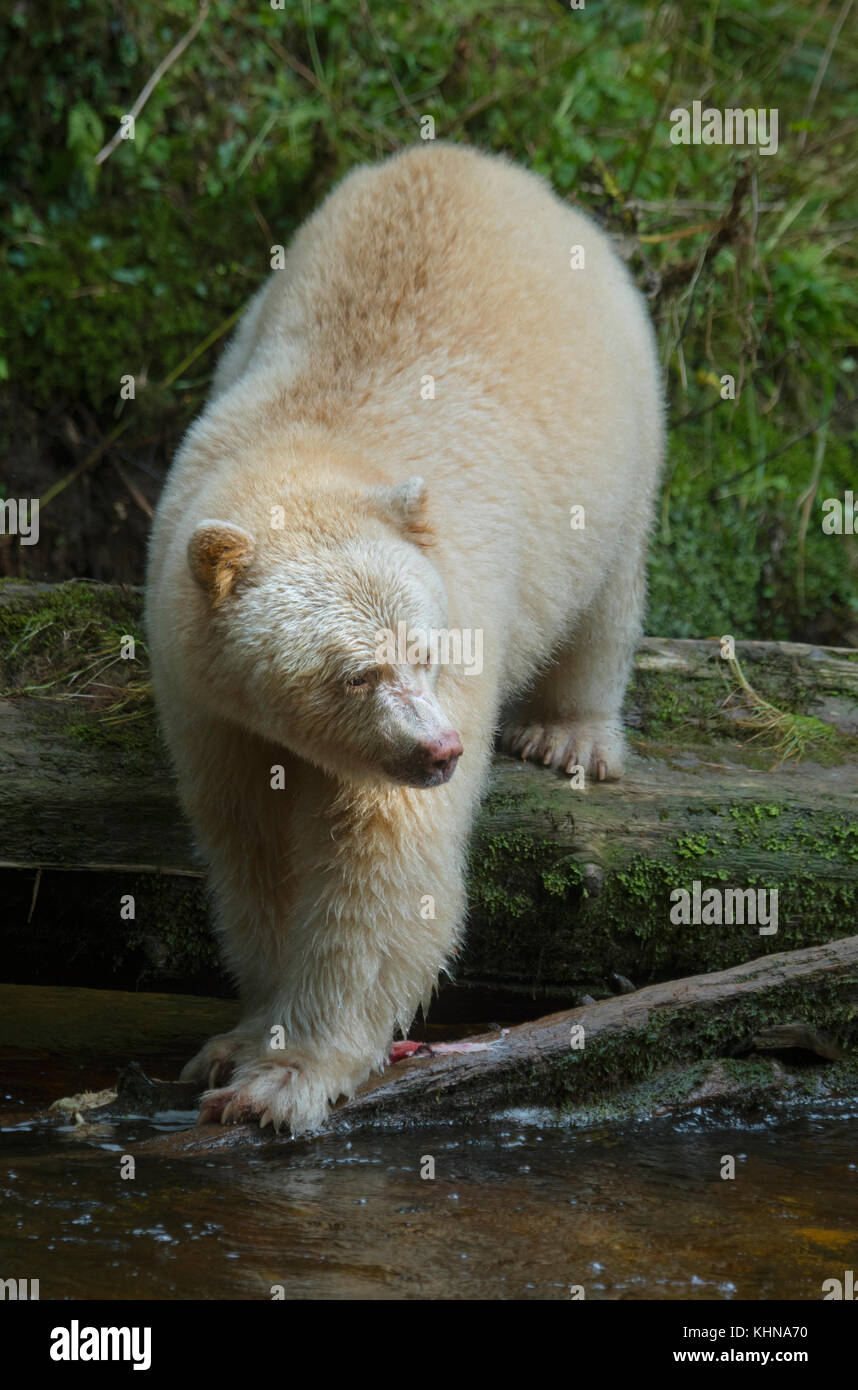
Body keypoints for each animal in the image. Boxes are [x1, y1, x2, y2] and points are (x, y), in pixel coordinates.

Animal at [143, 146, 659, 1134]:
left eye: (431, 653)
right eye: (358, 673)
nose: (443, 750)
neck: (309, 448)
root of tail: (476, 161)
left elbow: (383, 861)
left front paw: (285, 1078)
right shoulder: (203, 693)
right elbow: (250, 844)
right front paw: (240, 1038)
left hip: (619, 425)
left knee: (609, 593)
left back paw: (569, 734)